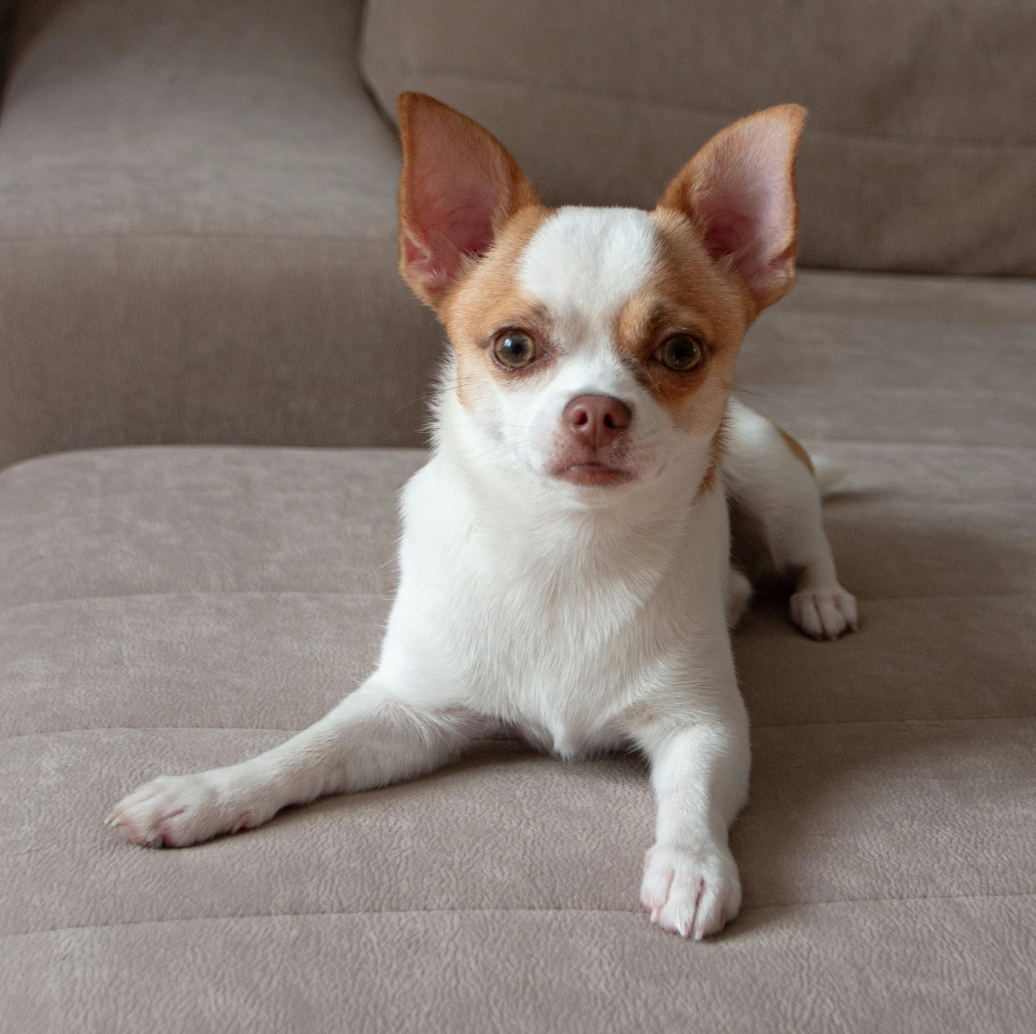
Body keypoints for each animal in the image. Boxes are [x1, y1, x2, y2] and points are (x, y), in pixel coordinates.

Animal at [105, 93, 853, 944]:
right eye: (514, 346)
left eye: (683, 352)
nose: (596, 411)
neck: (567, 546)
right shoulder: (407, 713)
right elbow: (308, 750)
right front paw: (209, 792)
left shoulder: (706, 726)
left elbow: (691, 798)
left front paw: (692, 865)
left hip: (765, 470)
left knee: (809, 542)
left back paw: (822, 598)